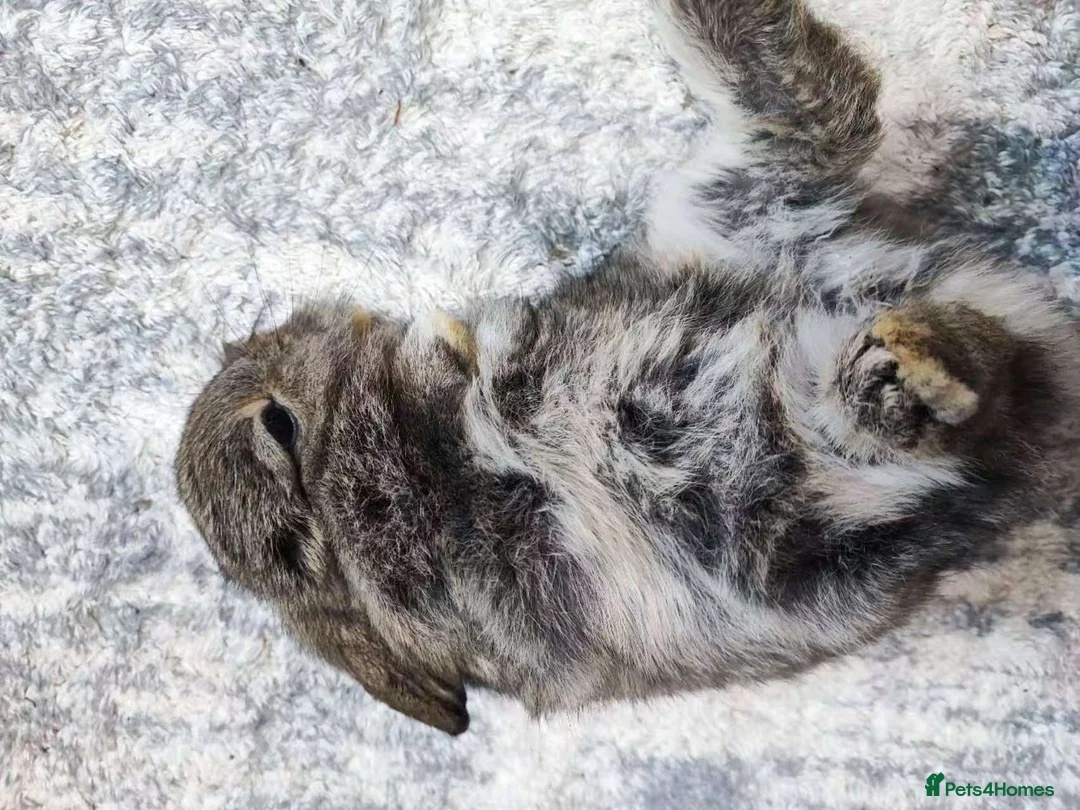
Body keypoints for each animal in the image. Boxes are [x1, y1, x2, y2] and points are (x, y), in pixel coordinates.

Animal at [176, 0, 1080, 736]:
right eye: (276, 423)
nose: (288, 329)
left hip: (730, 228)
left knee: (810, 116)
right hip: (810, 479)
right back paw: (907, 372)